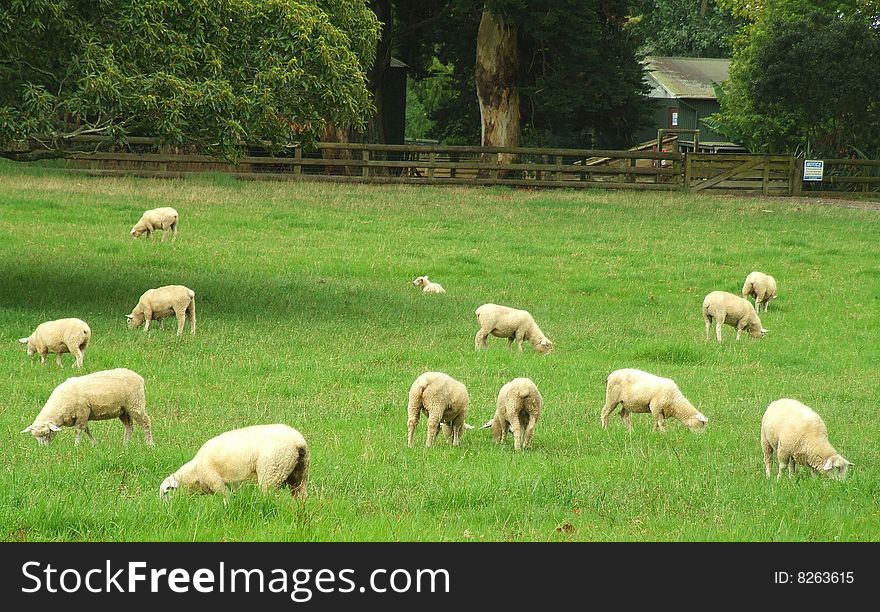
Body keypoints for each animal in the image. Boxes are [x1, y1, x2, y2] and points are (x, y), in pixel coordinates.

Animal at [20, 366, 153, 448]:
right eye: (35, 437)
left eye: (47, 434)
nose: (43, 449)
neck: (59, 406)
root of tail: (139, 378)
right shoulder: (83, 415)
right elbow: (86, 429)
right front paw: (94, 444)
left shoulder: (82, 412)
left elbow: (79, 430)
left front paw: (76, 446)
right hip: (123, 410)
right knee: (129, 427)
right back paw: (125, 445)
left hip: (135, 404)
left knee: (146, 423)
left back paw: (150, 444)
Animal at [160, 424, 312, 504]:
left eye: (166, 492)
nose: (164, 507)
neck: (194, 472)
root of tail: (298, 442)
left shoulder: (215, 481)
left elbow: (225, 498)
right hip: (300, 472)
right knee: (301, 494)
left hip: (272, 469)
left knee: (268, 495)